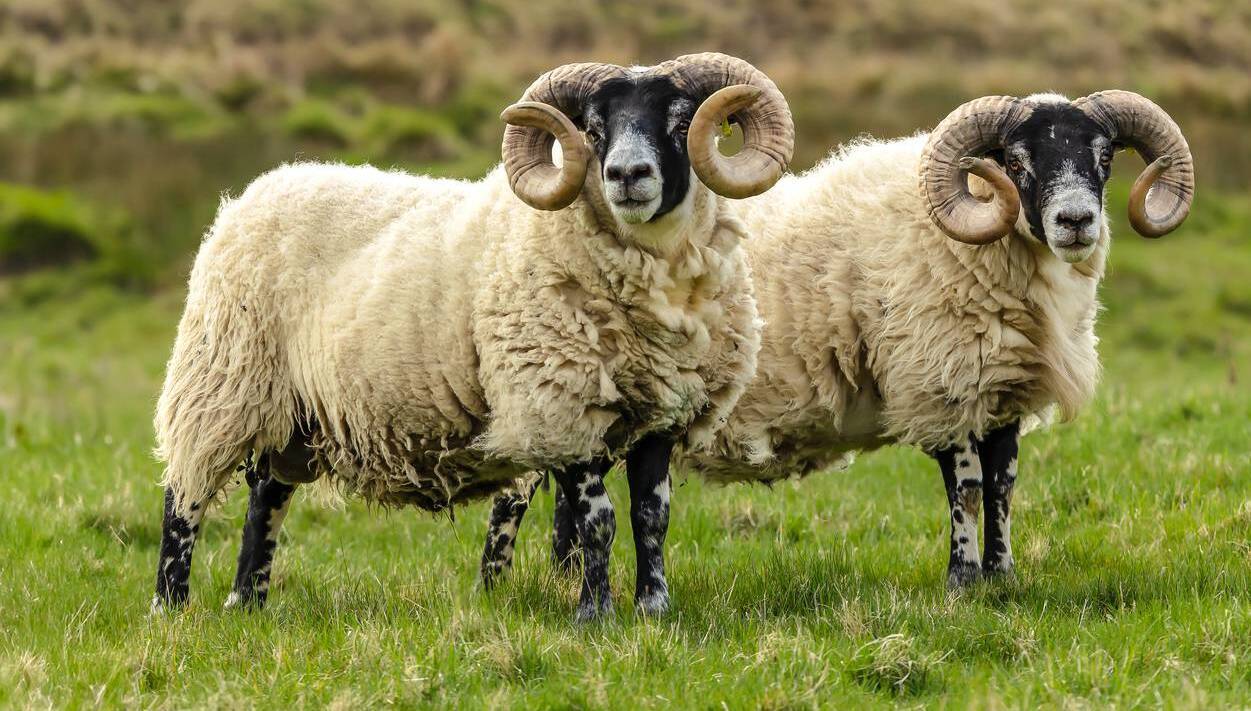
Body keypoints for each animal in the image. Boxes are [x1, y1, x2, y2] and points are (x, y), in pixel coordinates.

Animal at [151, 52, 794, 622]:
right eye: (592, 128)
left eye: (681, 120)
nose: (626, 176)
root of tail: (257, 190)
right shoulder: (554, 409)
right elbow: (598, 520)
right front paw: (595, 615)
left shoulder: (662, 413)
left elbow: (651, 518)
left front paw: (654, 610)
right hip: (222, 379)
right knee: (185, 496)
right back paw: (171, 608)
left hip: (292, 410)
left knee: (266, 492)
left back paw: (248, 601)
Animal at [480, 90, 1194, 590]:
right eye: (1016, 161)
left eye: (1104, 157)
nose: (1076, 221)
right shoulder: (938, 384)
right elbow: (965, 490)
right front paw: (964, 584)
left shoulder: (999, 395)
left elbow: (1002, 489)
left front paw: (1002, 577)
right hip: (552, 382)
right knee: (512, 501)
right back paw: (502, 595)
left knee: (567, 501)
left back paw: (564, 582)